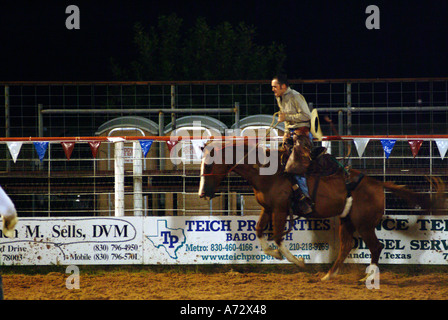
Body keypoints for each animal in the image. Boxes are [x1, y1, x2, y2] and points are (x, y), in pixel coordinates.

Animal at [198, 137, 442, 280]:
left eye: (209, 164)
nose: (201, 193)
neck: (267, 172)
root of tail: (377, 183)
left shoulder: (280, 209)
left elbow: (277, 237)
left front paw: (298, 262)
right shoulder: (267, 208)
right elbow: (259, 232)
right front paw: (274, 254)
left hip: (364, 224)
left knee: (376, 247)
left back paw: (369, 276)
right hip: (347, 221)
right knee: (346, 247)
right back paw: (328, 276)